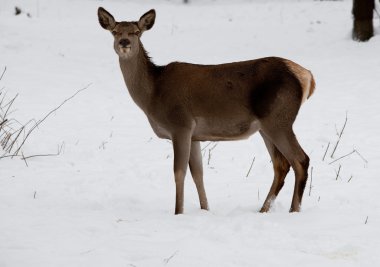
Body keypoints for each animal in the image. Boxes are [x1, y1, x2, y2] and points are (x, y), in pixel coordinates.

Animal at [97, 6, 314, 216]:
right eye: (115, 31)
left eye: (136, 32)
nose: (124, 42)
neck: (152, 95)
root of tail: (307, 77)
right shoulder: (195, 135)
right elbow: (198, 174)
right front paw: (205, 209)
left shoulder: (180, 124)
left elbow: (179, 172)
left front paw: (178, 212)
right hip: (266, 126)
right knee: (281, 165)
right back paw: (263, 210)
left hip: (279, 119)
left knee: (300, 160)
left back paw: (294, 210)